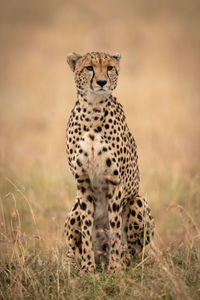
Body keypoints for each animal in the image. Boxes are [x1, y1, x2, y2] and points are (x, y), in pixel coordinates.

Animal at [64, 52, 155, 274]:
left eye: (110, 67)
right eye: (89, 68)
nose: (101, 82)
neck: (93, 109)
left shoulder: (115, 183)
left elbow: (114, 228)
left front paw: (115, 269)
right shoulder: (83, 183)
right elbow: (86, 230)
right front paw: (87, 268)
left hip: (138, 201)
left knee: (133, 251)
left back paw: (124, 262)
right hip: (74, 208)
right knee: (71, 245)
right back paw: (70, 266)